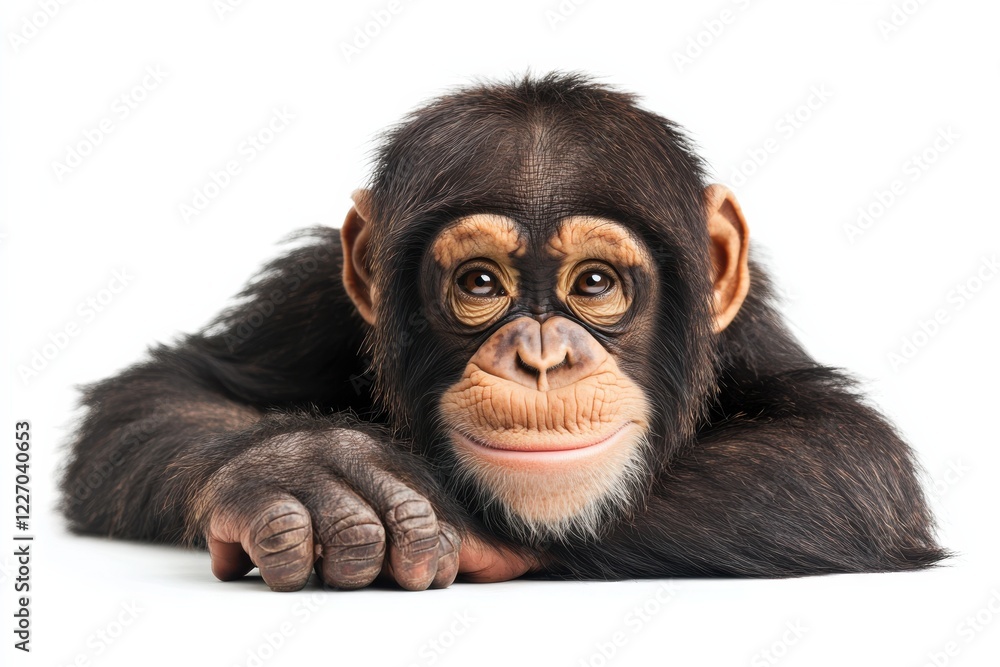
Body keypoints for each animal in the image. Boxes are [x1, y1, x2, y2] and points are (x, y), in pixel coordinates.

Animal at [60, 73, 946, 591]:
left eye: (595, 283)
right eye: (479, 283)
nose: (541, 356)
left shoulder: (747, 328)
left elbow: (845, 455)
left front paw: (433, 508)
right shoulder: (311, 298)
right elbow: (172, 387)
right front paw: (300, 469)